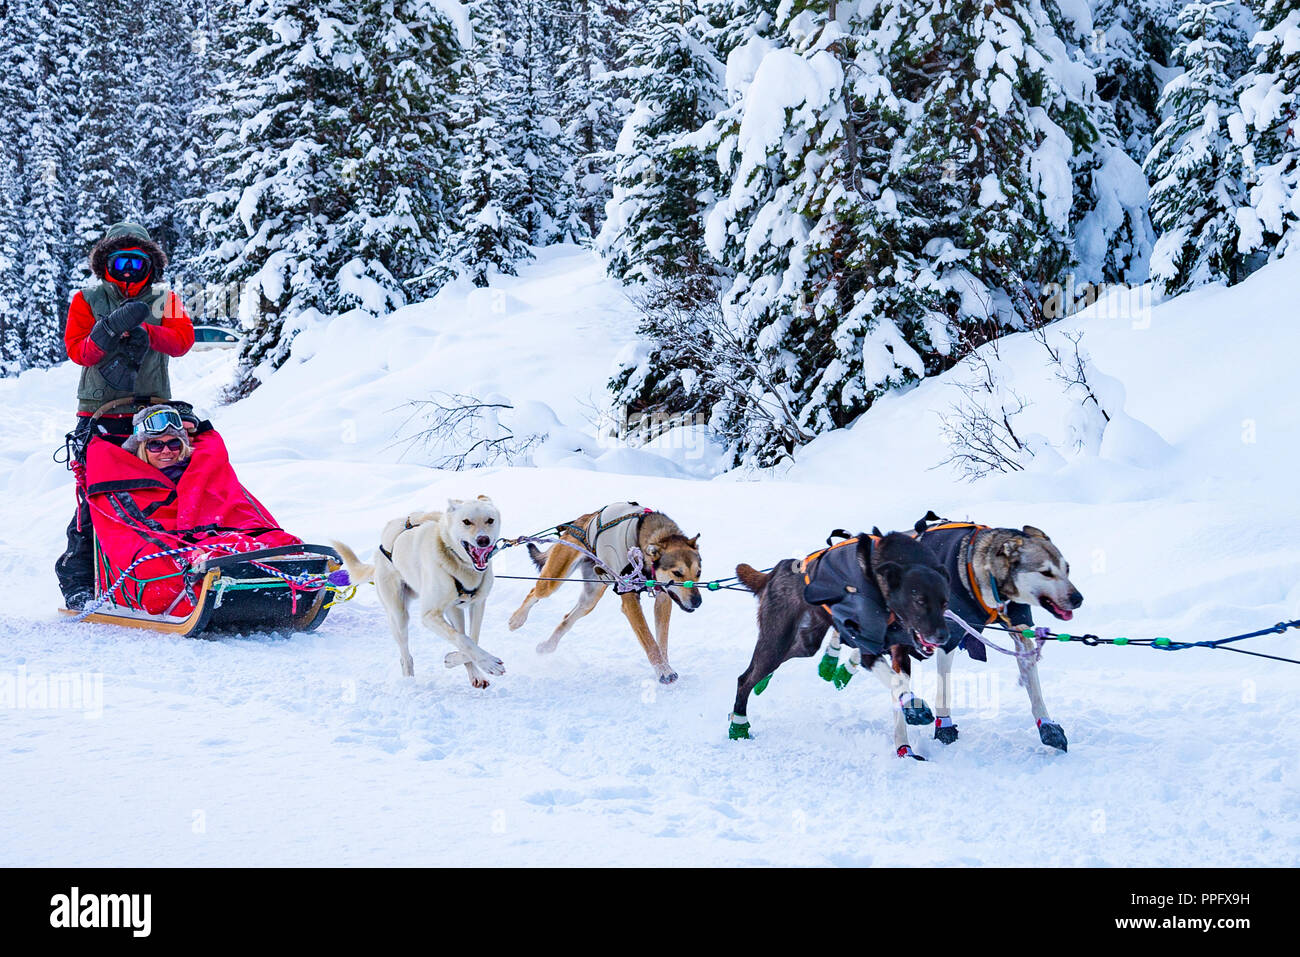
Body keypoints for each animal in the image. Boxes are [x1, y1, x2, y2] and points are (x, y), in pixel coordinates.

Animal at [332, 496, 504, 691]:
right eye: (466, 521)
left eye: (490, 520)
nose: (483, 540)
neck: (461, 567)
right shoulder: (429, 615)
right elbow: (463, 639)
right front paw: (489, 662)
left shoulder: (478, 604)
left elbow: (471, 638)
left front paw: (454, 659)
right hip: (398, 617)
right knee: (405, 656)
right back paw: (408, 681)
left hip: (453, 611)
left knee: (461, 633)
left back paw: (474, 674)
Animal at [504, 504, 702, 686]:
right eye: (677, 573)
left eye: (698, 572)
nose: (698, 601)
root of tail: (580, 521)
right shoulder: (629, 599)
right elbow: (649, 640)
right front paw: (663, 671)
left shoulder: (663, 599)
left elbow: (661, 640)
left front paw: (665, 666)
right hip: (554, 580)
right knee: (535, 592)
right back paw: (516, 620)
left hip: (590, 598)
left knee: (567, 618)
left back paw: (547, 646)